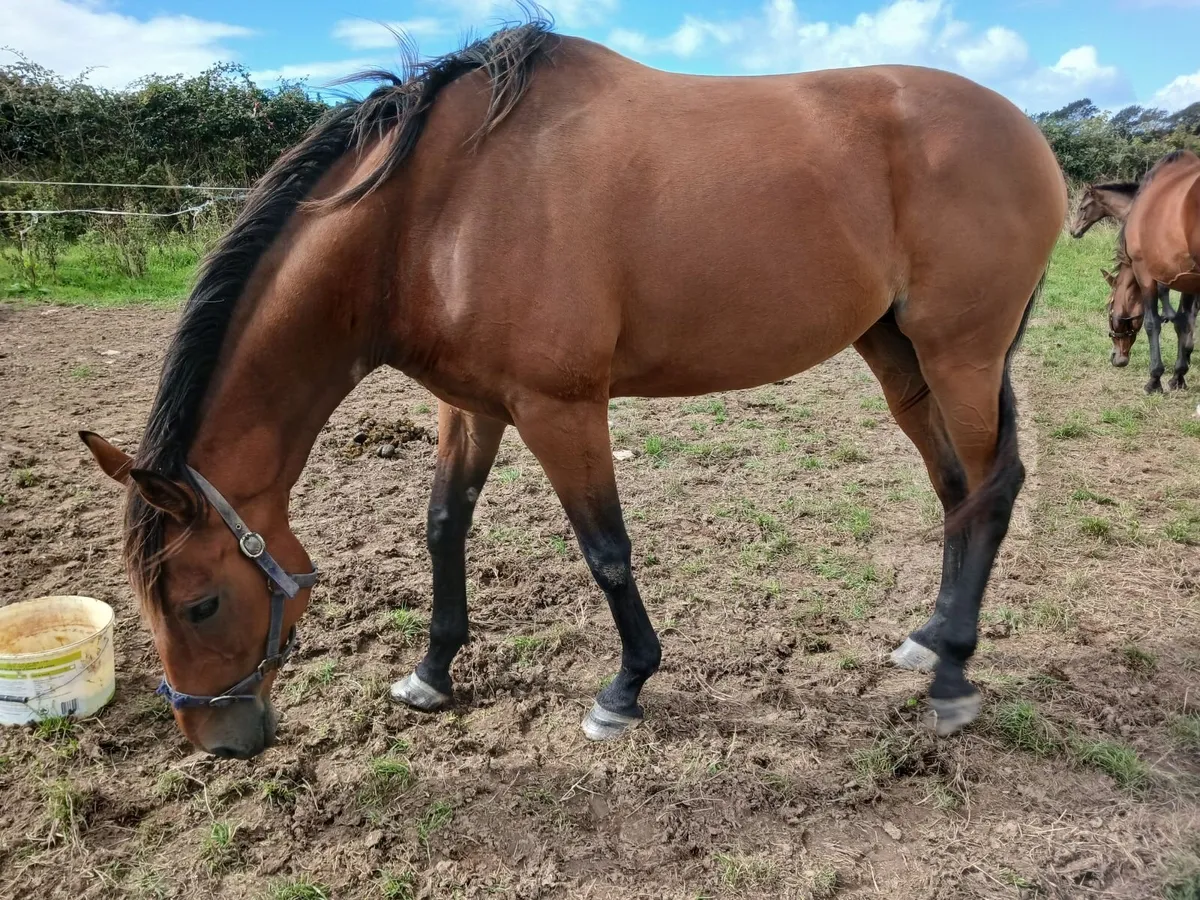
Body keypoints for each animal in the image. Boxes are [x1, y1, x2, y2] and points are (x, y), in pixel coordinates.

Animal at [79, 21, 1066, 760]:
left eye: (200, 603)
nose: (217, 740)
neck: (436, 211)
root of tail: (1026, 135)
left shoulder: (561, 408)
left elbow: (607, 550)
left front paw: (624, 690)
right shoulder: (471, 405)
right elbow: (444, 527)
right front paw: (432, 673)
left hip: (961, 355)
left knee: (990, 491)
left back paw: (953, 677)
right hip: (899, 354)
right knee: (954, 487)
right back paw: (928, 639)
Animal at [1105, 151, 1200, 384]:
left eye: (1109, 310)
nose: (1116, 357)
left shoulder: (1145, 272)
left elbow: (1152, 322)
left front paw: (1155, 377)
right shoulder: (1187, 278)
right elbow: (1185, 321)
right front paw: (1179, 374)